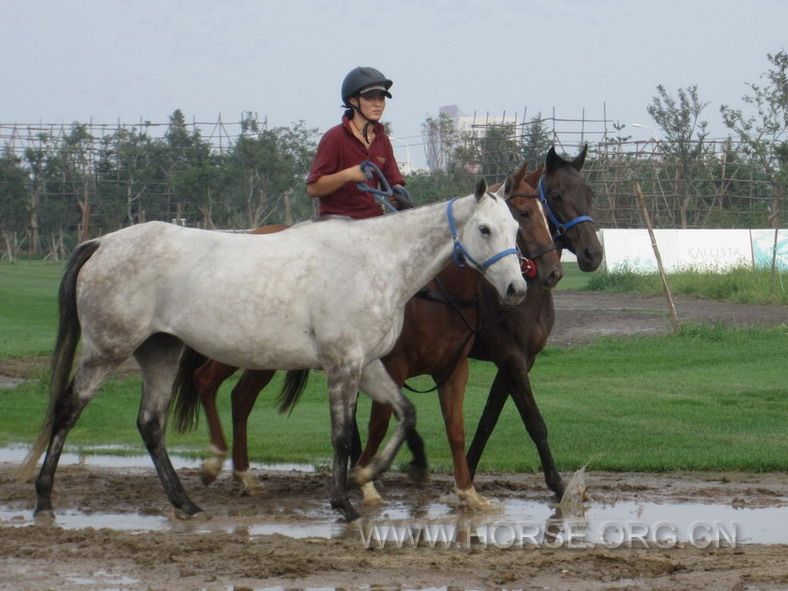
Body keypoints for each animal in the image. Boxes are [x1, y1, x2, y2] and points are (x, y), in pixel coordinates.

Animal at [21, 178, 528, 520]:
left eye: (515, 227)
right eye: (485, 229)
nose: (517, 289)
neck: (376, 261)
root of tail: (102, 241)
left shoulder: (367, 365)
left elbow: (405, 414)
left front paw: (369, 476)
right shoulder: (343, 364)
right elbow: (344, 436)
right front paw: (345, 502)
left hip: (160, 352)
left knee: (150, 424)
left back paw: (185, 502)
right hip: (107, 351)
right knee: (68, 410)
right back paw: (44, 497)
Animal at [172, 162, 560, 508]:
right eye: (519, 215)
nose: (521, 285)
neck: (433, 289)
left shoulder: (456, 368)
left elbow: (457, 428)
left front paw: (466, 491)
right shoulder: (398, 364)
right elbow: (379, 423)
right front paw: (369, 482)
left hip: (264, 355)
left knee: (239, 398)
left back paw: (244, 475)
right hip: (236, 344)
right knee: (207, 380)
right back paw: (220, 464)